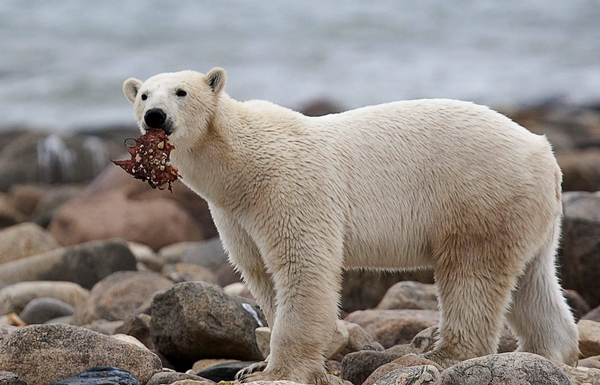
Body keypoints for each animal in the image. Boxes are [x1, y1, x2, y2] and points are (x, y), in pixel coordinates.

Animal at [124, 68, 580, 380]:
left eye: (181, 91)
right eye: (143, 94)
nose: (155, 116)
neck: (240, 163)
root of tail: (544, 152)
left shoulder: (288, 187)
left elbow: (303, 265)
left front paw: (278, 371)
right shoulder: (235, 213)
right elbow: (261, 273)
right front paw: (254, 366)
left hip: (478, 196)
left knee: (471, 275)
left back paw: (443, 354)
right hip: (526, 213)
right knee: (533, 283)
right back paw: (549, 354)